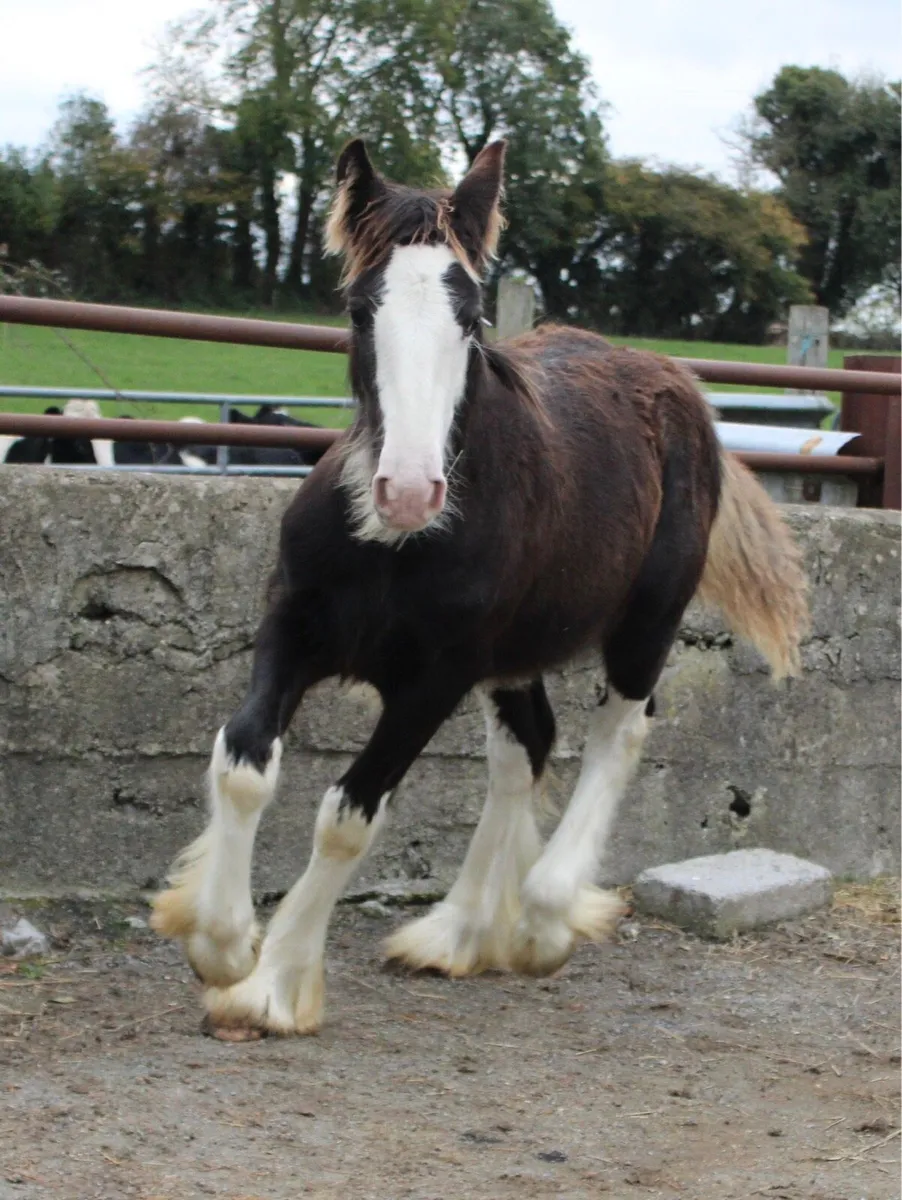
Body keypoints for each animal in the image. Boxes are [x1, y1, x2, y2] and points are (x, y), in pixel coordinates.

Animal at [151, 139, 809, 1039]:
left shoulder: (434, 680)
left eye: (469, 319)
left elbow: (348, 817)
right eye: (358, 309)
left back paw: (540, 920)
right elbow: (243, 759)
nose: (408, 492)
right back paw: (461, 932)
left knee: (619, 733)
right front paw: (218, 943)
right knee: (525, 746)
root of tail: (675, 382)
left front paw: (276, 984)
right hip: (515, 654)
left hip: (646, 621)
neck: (390, 549)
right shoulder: (292, 626)